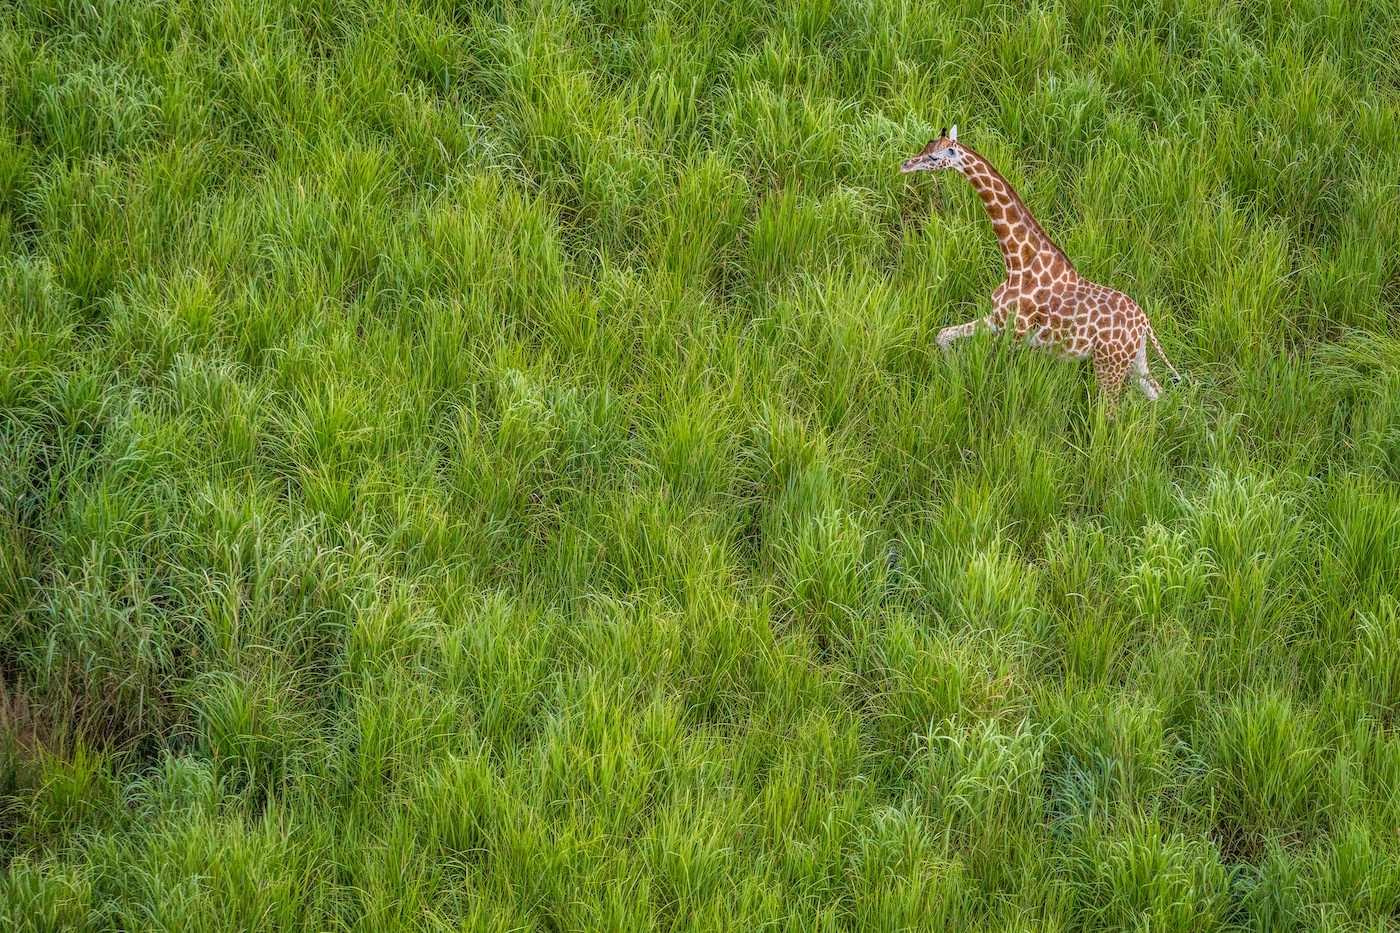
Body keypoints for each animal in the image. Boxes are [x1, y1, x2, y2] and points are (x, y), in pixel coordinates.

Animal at [901, 125, 1181, 413]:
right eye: (925, 146)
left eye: (934, 157)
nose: (905, 165)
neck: (1016, 262)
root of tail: (1144, 322)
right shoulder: (997, 320)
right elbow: (942, 335)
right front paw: (950, 370)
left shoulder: (1015, 335)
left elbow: (989, 376)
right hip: (1134, 360)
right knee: (1158, 393)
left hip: (1109, 364)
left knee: (1110, 413)